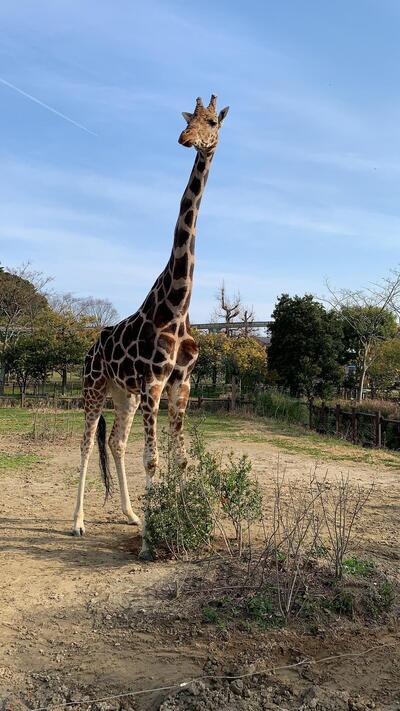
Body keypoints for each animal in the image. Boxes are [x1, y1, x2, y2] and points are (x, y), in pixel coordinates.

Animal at [72, 94, 228, 560]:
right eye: (190, 118)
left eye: (212, 122)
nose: (186, 138)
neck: (177, 304)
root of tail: (91, 347)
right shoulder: (154, 382)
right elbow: (153, 460)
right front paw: (149, 544)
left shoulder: (181, 382)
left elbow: (180, 458)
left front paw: (182, 527)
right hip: (94, 386)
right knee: (85, 442)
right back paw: (78, 523)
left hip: (123, 394)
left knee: (115, 441)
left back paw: (131, 515)